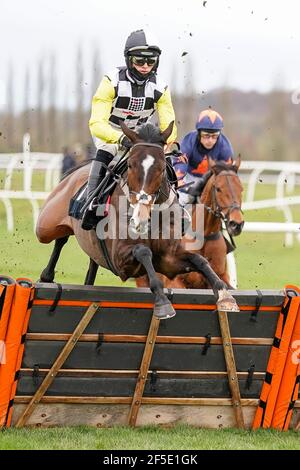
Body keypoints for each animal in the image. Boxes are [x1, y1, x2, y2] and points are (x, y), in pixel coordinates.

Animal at [137, 158, 245, 288]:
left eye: (241, 189)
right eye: (218, 189)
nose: (236, 224)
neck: (203, 235)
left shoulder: (221, 276)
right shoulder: (175, 280)